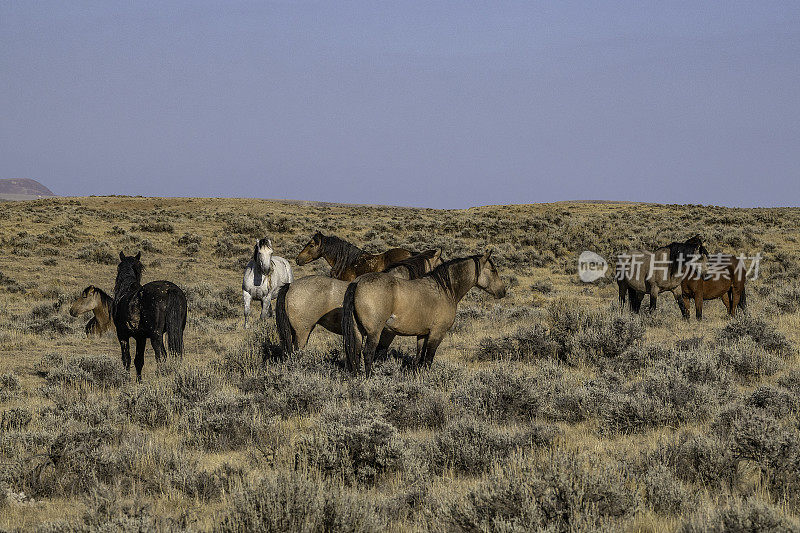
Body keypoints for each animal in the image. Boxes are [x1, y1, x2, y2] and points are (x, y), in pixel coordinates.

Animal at [112, 251, 188, 380]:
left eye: (118, 267)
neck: (125, 290)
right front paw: (139, 381)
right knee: (175, 353)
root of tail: (170, 290)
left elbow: (126, 359)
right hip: (178, 331)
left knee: (161, 355)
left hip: (155, 335)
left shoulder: (122, 334)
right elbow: (138, 361)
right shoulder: (141, 337)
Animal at [340, 251, 504, 376]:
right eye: (493, 270)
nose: (503, 291)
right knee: (368, 354)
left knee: (355, 353)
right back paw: (369, 378)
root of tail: (357, 282)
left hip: (357, 330)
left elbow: (419, 358)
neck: (444, 290)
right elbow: (428, 359)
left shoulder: (422, 335)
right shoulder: (437, 333)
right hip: (374, 332)